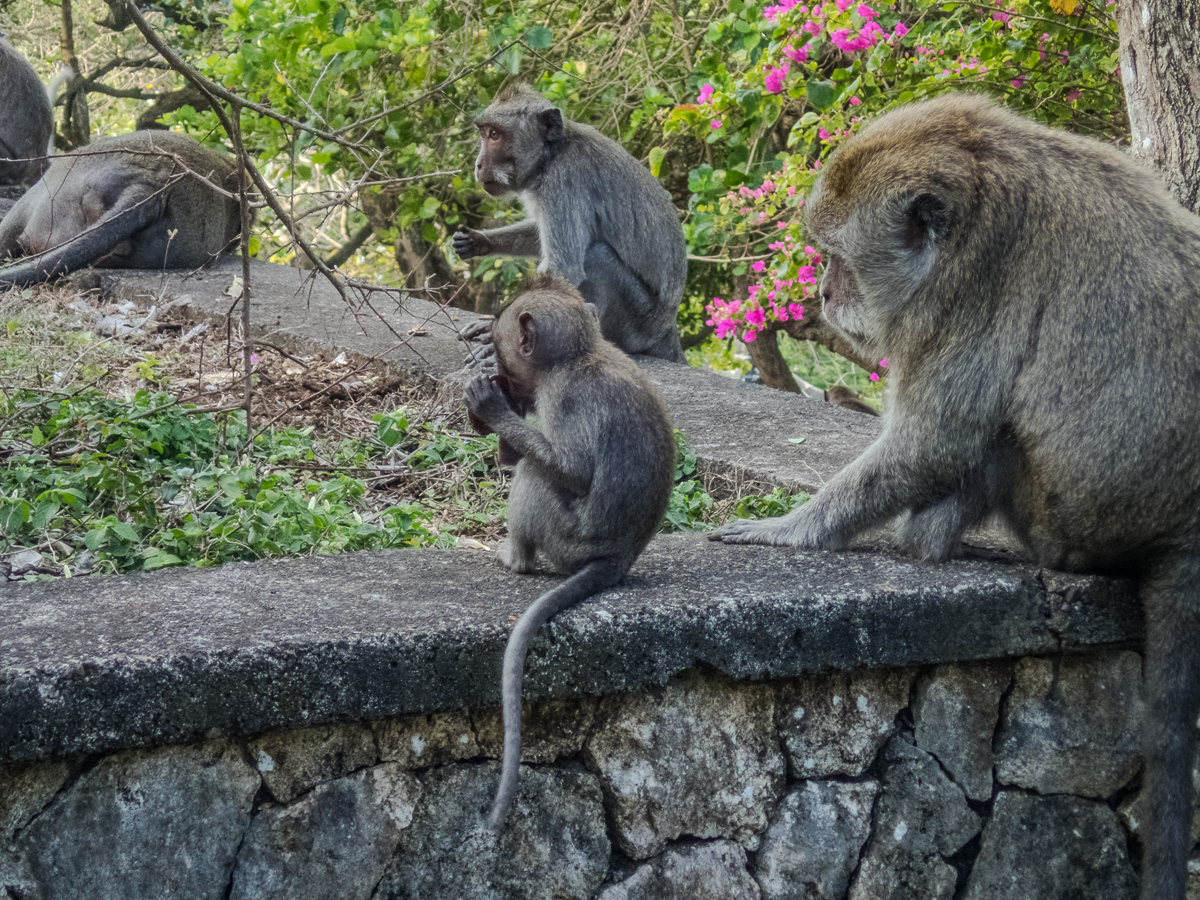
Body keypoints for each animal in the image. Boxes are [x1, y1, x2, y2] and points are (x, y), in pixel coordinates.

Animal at [463, 277, 681, 830]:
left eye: (502, 349)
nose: (500, 374)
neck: (581, 355)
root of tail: (619, 559)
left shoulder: (564, 398)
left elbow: (573, 470)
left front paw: (492, 410)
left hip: (566, 539)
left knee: (538, 476)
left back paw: (515, 557)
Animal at [710, 93, 1200, 900]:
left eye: (838, 257)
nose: (823, 291)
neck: (981, 172)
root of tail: (1186, 525)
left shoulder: (968, 285)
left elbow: (936, 440)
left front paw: (789, 530)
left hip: (1067, 524)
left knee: (990, 437)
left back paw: (925, 543)